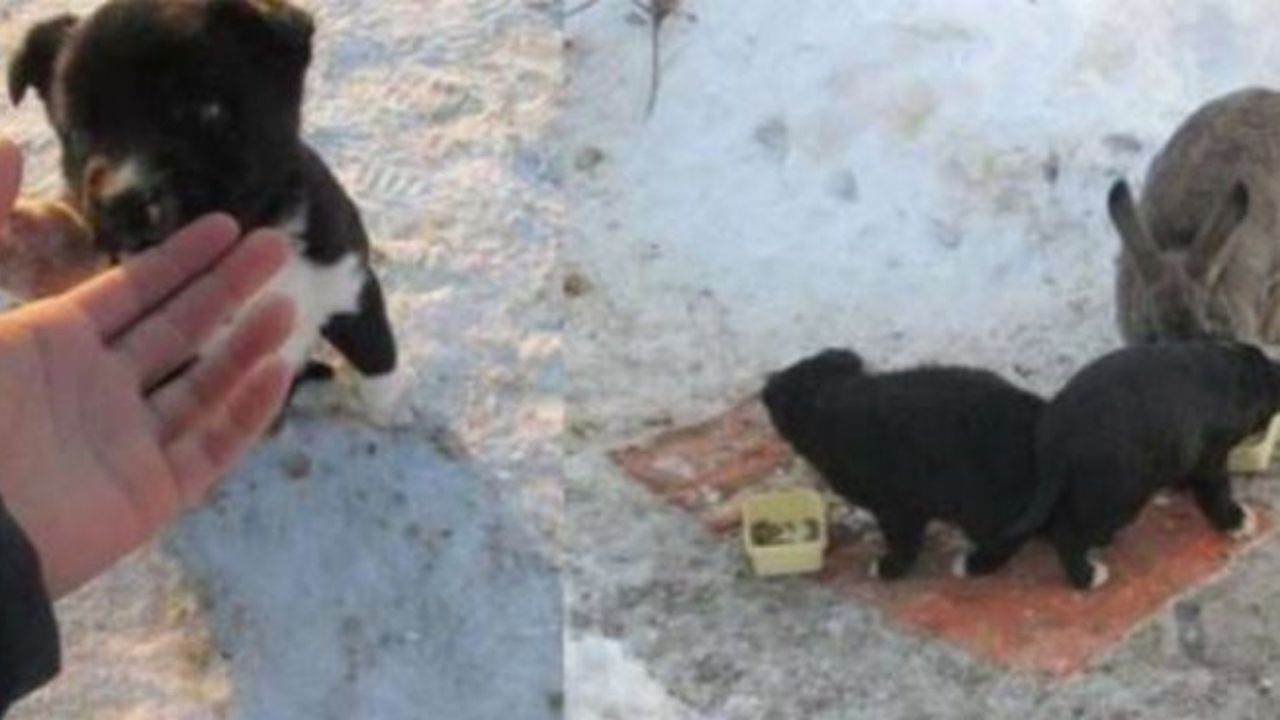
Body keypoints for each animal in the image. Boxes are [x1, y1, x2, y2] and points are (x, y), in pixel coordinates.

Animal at [6, 1, 404, 420]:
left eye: (205, 109)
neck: (248, 234)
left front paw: (388, 412)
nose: (124, 203)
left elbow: (377, 355)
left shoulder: (347, 279)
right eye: (79, 133)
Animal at [762, 345, 1044, 576]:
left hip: (981, 503)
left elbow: (902, 540)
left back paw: (974, 564)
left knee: (1012, 534)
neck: (830, 395)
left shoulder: (896, 506)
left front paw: (890, 568)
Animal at [1008, 340, 1280, 589]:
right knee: (1067, 533)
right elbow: (1217, 492)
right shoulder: (1210, 458)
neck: (1241, 374)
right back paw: (1087, 576)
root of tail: (1054, 438)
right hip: (1119, 495)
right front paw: (1236, 521)